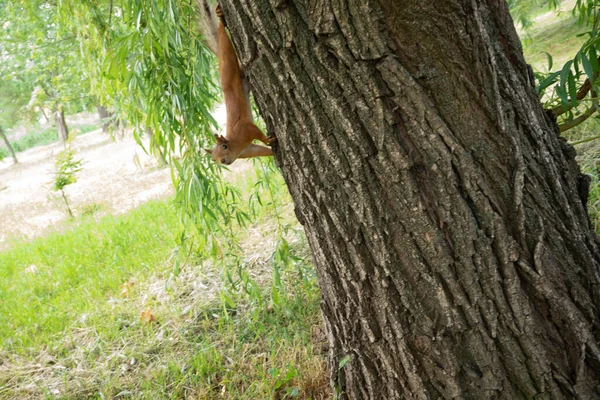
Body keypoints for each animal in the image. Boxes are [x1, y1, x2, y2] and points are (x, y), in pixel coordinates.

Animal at [203, 5, 276, 164]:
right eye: (214, 159)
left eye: (224, 146)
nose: (224, 161)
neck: (236, 144)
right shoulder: (247, 150)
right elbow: (260, 150)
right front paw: (271, 152)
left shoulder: (245, 129)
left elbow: (256, 131)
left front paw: (267, 139)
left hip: (228, 69)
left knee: (225, 46)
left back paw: (221, 20)